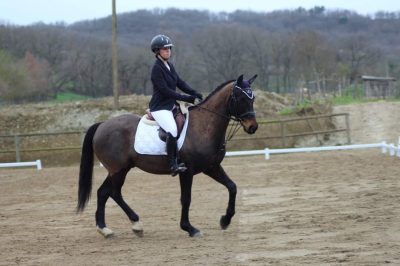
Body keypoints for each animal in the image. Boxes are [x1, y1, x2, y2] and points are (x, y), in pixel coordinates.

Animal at [77, 74, 260, 238]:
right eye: (239, 98)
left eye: (253, 98)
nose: (252, 127)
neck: (204, 126)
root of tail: (102, 125)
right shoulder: (186, 171)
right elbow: (186, 198)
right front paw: (190, 228)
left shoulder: (211, 167)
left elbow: (232, 187)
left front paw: (225, 220)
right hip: (118, 170)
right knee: (113, 192)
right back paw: (129, 224)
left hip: (120, 169)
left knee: (104, 192)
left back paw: (108, 228)